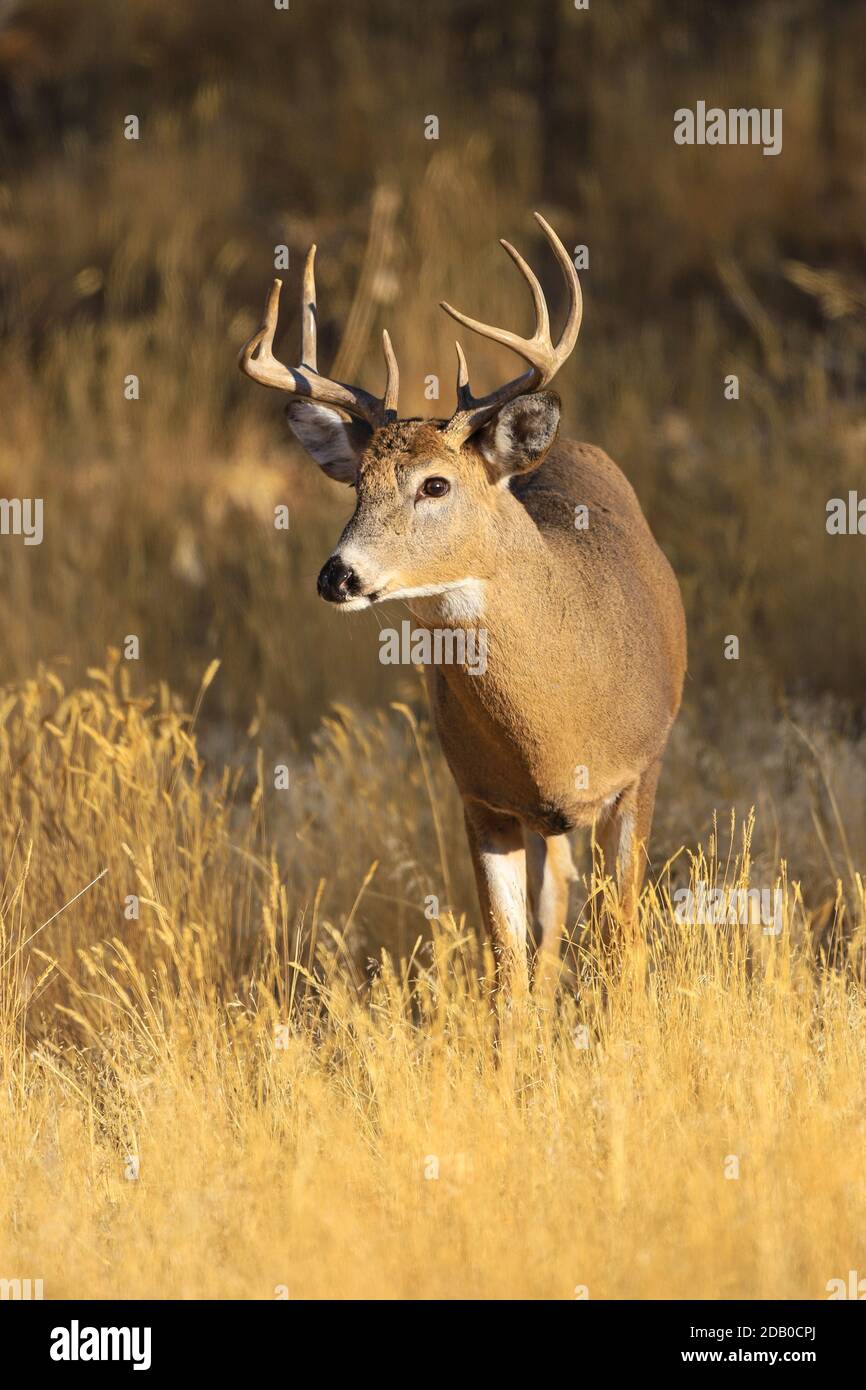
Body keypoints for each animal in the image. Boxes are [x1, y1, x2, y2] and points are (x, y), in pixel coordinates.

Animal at [240, 214, 686, 989]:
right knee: (551, 910)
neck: (560, 724)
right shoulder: (479, 798)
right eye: (356, 486)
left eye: (435, 484)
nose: (337, 576)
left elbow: (620, 944)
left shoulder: (638, 770)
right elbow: (508, 962)